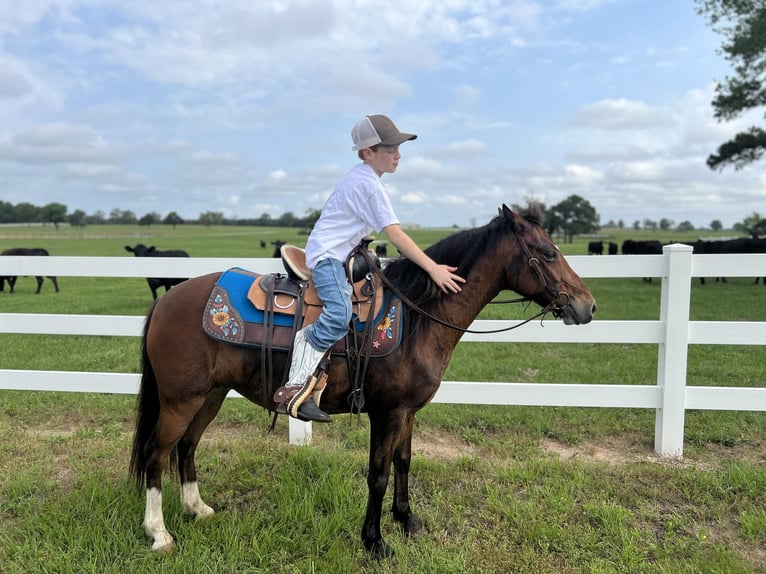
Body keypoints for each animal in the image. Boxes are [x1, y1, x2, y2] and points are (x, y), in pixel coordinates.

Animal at [129, 202, 600, 560]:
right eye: (548, 252)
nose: (587, 305)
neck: (416, 316)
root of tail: (168, 299)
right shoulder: (386, 413)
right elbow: (378, 474)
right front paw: (374, 542)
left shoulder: (407, 412)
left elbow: (404, 462)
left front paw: (407, 520)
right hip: (180, 399)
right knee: (155, 454)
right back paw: (160, 533)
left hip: (210, 395)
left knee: (187, 447)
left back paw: (197, 509)